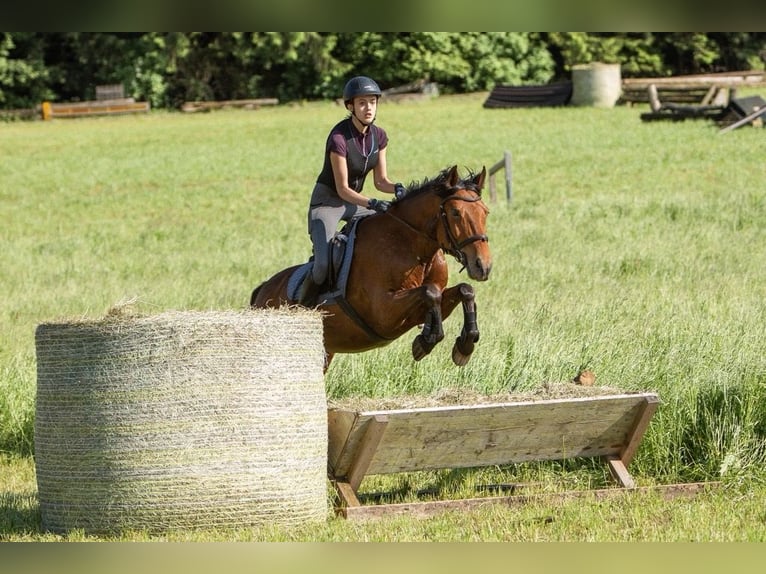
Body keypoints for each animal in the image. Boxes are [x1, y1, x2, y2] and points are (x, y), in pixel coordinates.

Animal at [250, 165, 492, 371]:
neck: (414, 247)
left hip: (325, 353)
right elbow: (430, 293)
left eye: (485, 211)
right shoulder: (383, 313)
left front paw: (464, 346)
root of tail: (262, 290)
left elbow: (464, 290)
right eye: (455, 213)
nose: (483, 266)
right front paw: (425, 342)